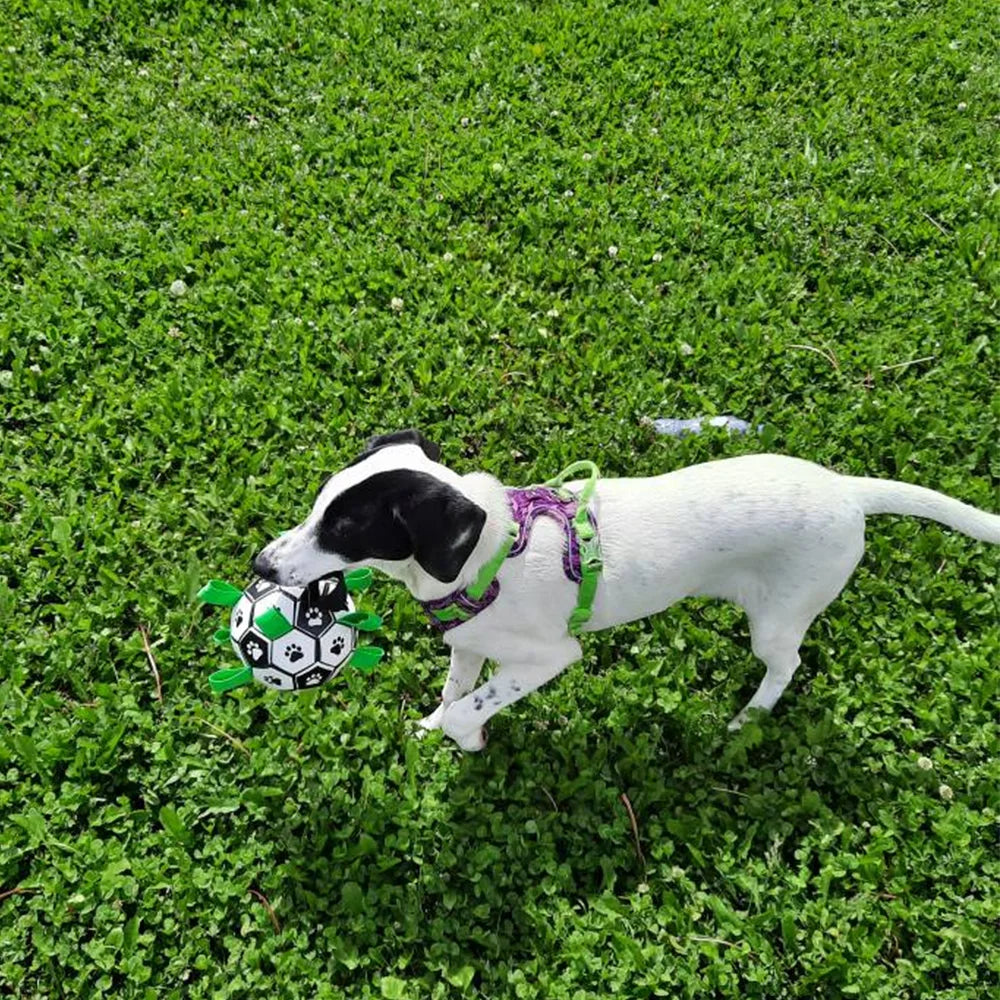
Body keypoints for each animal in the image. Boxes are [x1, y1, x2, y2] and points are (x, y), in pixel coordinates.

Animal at [252, 430, 1000, 752]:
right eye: (316, 508)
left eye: (344, 528)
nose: (260, 564)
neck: (486, 555)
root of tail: (849, 491)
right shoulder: (468, 646)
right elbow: (454, 693)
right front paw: (436, 727)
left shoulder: (549, 659)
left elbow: (476, 706)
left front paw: (466, 740)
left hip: (780, 617)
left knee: (785, 663)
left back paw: (750, 716)